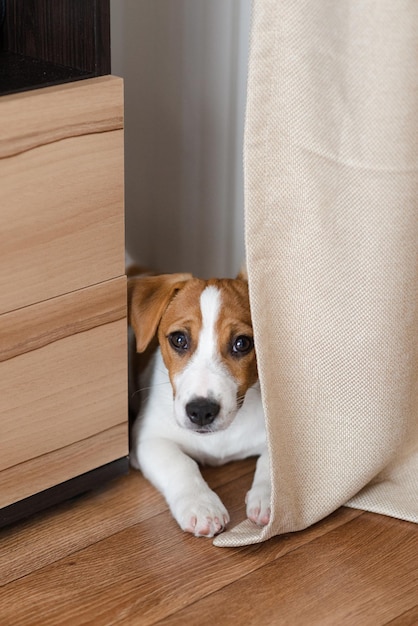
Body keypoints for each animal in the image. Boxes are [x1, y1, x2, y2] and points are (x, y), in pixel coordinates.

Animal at [128, 268, 272, 536]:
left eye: (242, 343)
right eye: (178, 339)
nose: (201, 411)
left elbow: (271, 461)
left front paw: (270, 498)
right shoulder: (148, 440)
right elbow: (180, 463)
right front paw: (201, 506)